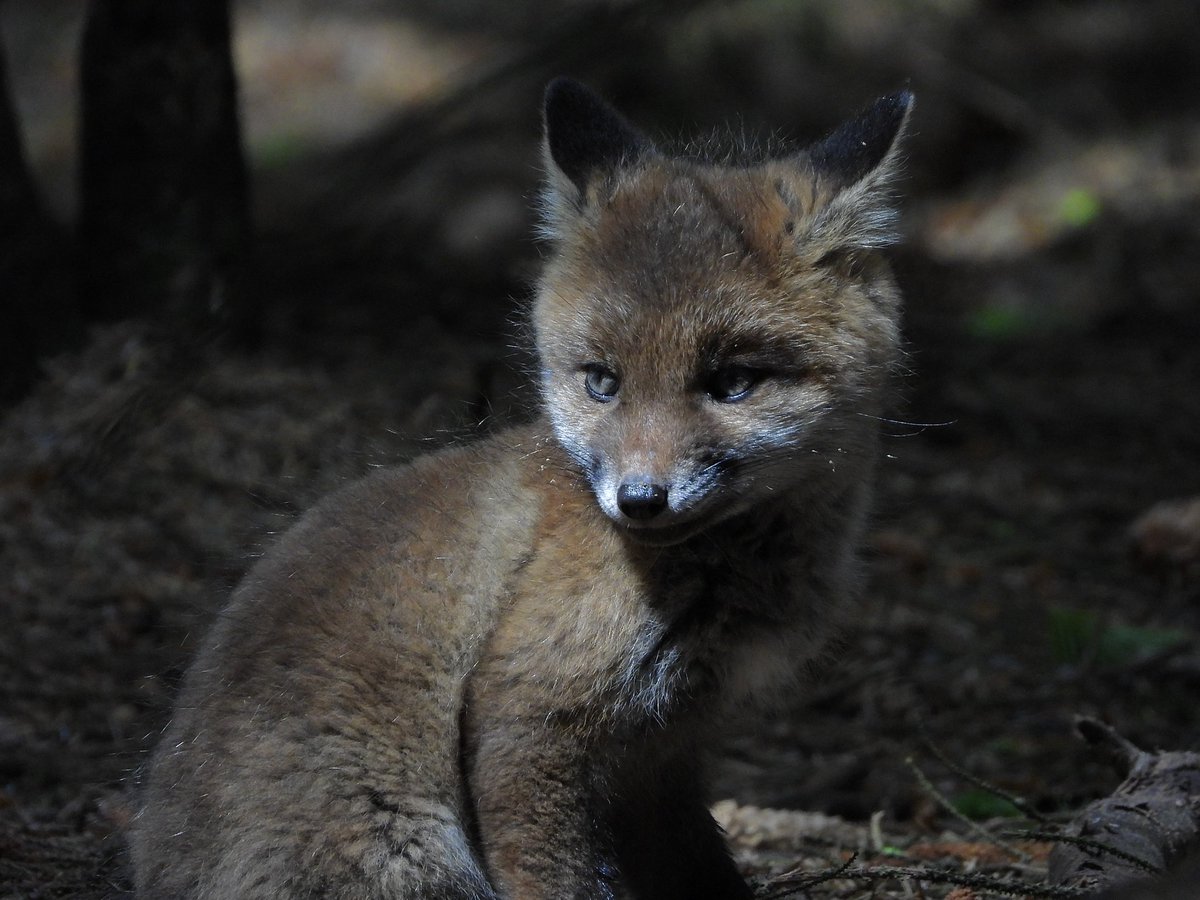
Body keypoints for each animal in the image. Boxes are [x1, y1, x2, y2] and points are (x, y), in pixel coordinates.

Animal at [130, 78, 913, 899]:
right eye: (602, 381)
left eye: (732, 382)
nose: (640, 500)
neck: (732, 571)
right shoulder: (531, 716)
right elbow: (561, 878)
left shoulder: (662, 755)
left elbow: (704, 868)